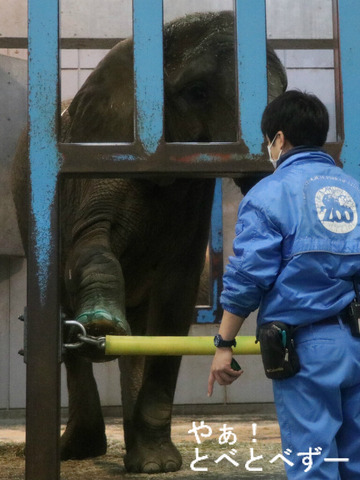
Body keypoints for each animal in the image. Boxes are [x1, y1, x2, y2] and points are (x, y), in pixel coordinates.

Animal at [11, 9, 286, 474]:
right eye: (197, 93)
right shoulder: (100, 152)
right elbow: (86, 243)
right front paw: (102, 326)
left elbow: (175, 300)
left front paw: (157, 465)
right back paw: (77, 448)